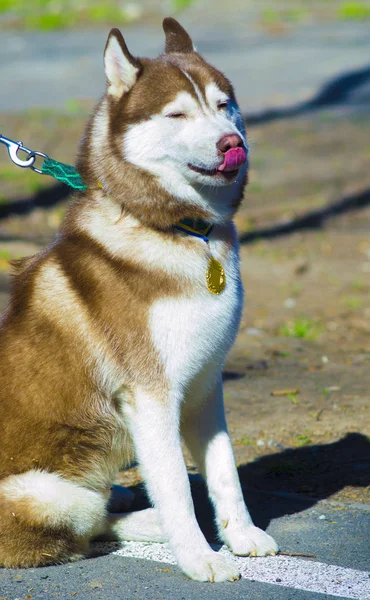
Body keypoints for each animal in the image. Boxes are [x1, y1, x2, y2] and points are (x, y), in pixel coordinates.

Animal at [0, 19, 278, 580]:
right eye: (177, 114)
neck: (178, 232)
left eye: (223, 105)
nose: (233, 142)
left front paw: (240, 536)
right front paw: (199, 557)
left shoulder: (204, 384)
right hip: (44, 493)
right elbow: (175, 489)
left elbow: (224, 473)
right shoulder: (151, 395)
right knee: (85, 526)